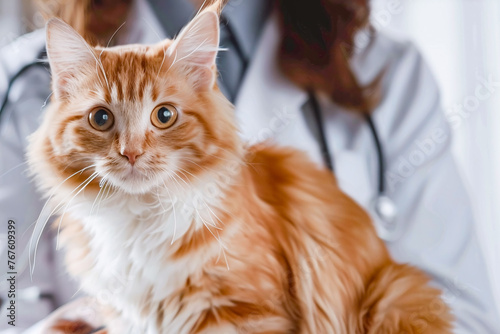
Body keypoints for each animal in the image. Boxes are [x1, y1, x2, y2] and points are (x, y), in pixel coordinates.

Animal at [28, 3, 454, 334]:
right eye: (101, 119)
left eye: (163, 115)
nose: (130, 153)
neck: (139, 220)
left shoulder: (245, 311)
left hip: (395, 293)